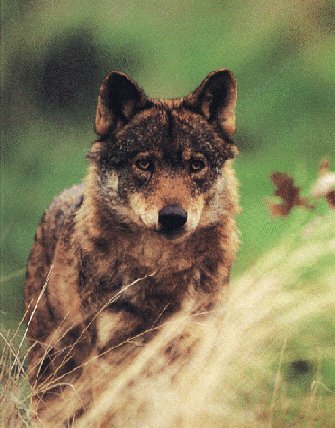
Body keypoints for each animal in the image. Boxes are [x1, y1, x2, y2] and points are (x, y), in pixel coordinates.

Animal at [24, 67, 239, 422]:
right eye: (144, 164)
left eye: (196, 165)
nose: (173, 217)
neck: (161, 273)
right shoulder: (115, 355)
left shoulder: (193, 346)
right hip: (51, 376)